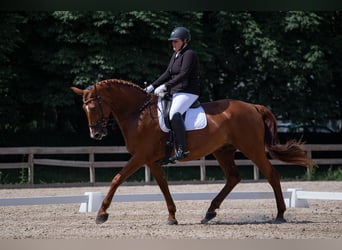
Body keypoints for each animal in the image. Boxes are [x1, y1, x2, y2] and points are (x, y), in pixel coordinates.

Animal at [71, 79, 314, 226]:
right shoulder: (152, 161)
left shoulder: (140, 157)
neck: (138, 114)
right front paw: (172, 216)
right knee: (233, 177)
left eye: (93, 107)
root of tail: (253, 106)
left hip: (251, 148)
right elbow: (163, 187)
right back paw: (209, 212)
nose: (96, 134)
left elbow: (117, 178)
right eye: (83, 108)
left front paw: (101, 214)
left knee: (272, 174)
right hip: (223, 151)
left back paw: (280, 214)